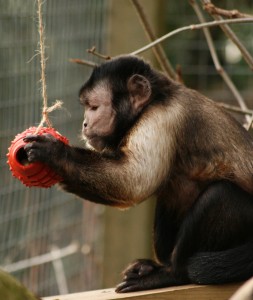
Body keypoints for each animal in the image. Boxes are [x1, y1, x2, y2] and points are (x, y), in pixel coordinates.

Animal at [23, 55, 253, 292]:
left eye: (94, 107)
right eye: (87, 107)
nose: (85, 123)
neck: (157, 98)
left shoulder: (161, 118)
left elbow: (134, 181)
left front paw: (56, 155)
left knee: (221, 194)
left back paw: (171, 273)